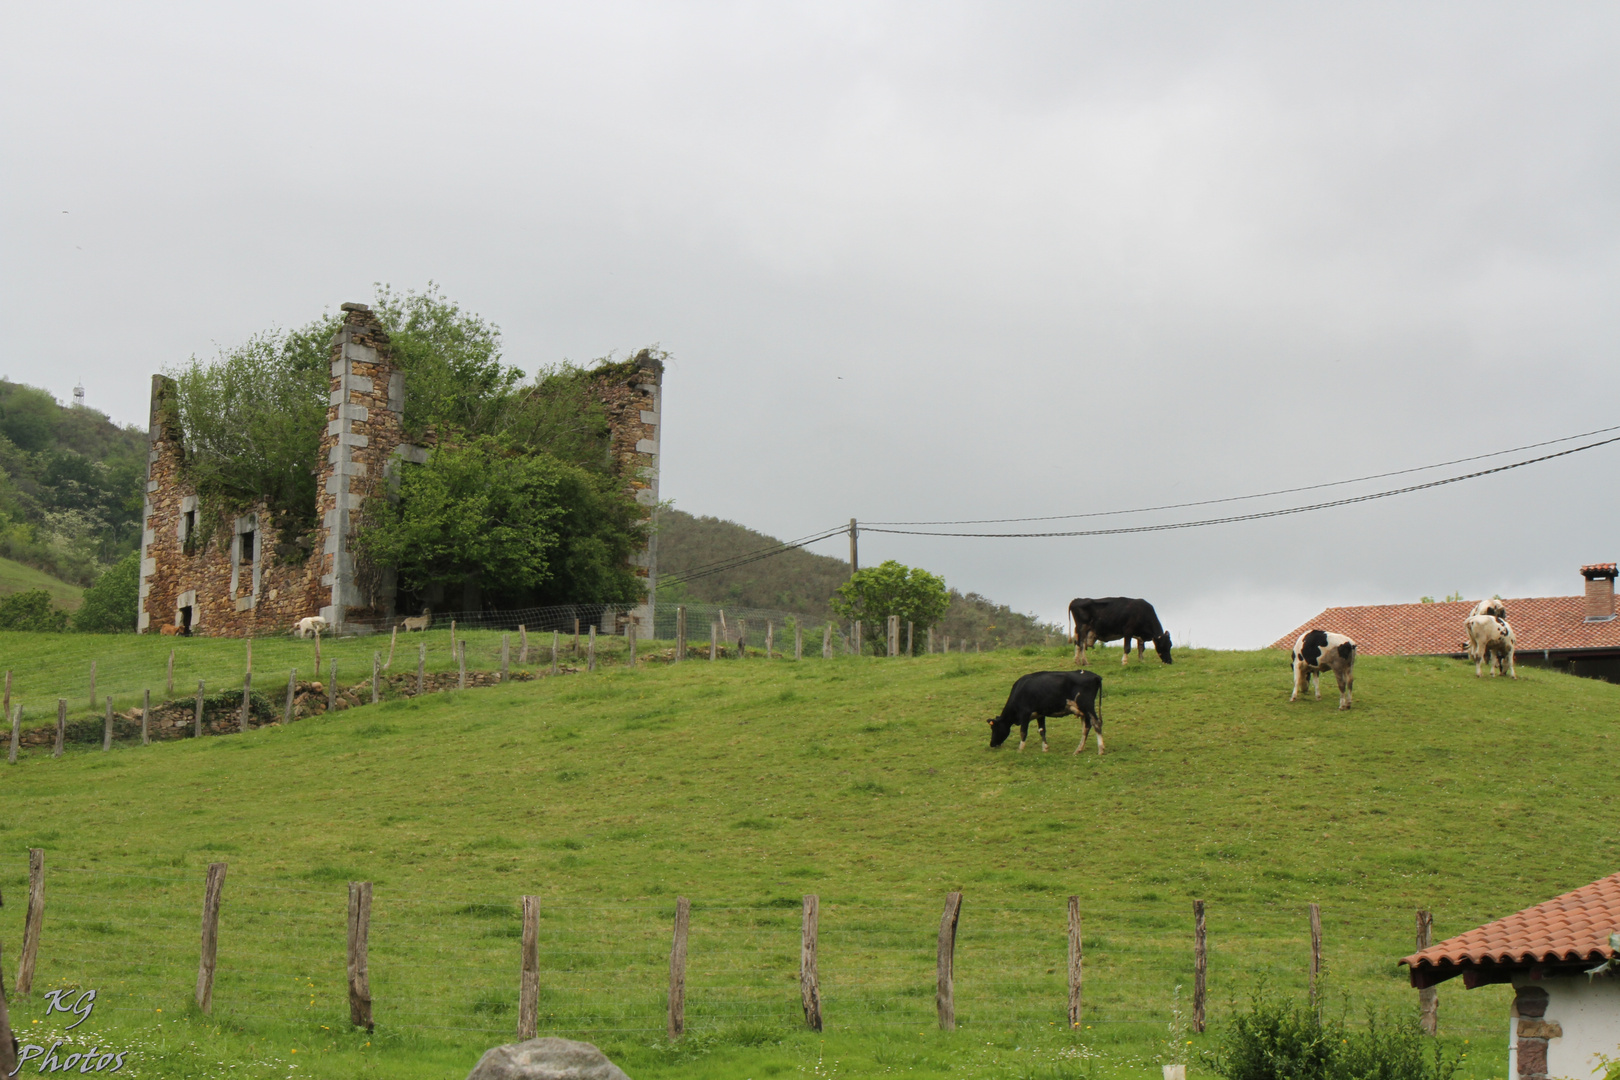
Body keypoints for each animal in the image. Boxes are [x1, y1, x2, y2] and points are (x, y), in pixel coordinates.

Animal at [978, 670, 1108, 757]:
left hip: (1087, 705)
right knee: (1086, 727)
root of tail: (1095, 676)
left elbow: (1023, 732)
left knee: (1096, 723)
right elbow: (1042, 730)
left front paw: (1020, 749)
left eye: (994, 728)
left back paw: (1100, 749)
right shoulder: (1040, 714)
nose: (992, 743)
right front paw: (1045, 748)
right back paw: (1078, 749)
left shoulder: (1025, 714)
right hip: (1083, 710)